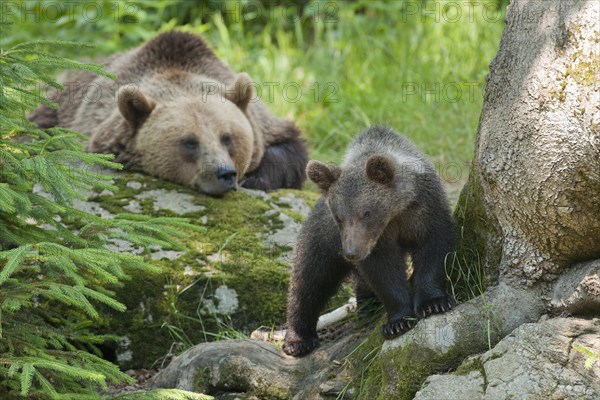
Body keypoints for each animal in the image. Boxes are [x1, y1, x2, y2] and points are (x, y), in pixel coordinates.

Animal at [27, 30, 308, 195]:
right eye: (190, 142)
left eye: (228, 137)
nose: (225, 173)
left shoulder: (263, 123)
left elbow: (288, 147)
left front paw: (257, 178)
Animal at [284, 126, 452, 356]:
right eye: (339, 216)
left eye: (366, 212)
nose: (351, 252)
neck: (396, 213)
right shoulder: (376, 240)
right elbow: (383, 271)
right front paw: (398, 322)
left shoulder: (425, 210)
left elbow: (434, 248)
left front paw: (434, 303)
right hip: (319, 237)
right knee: (307, 281)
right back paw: (298, 340)